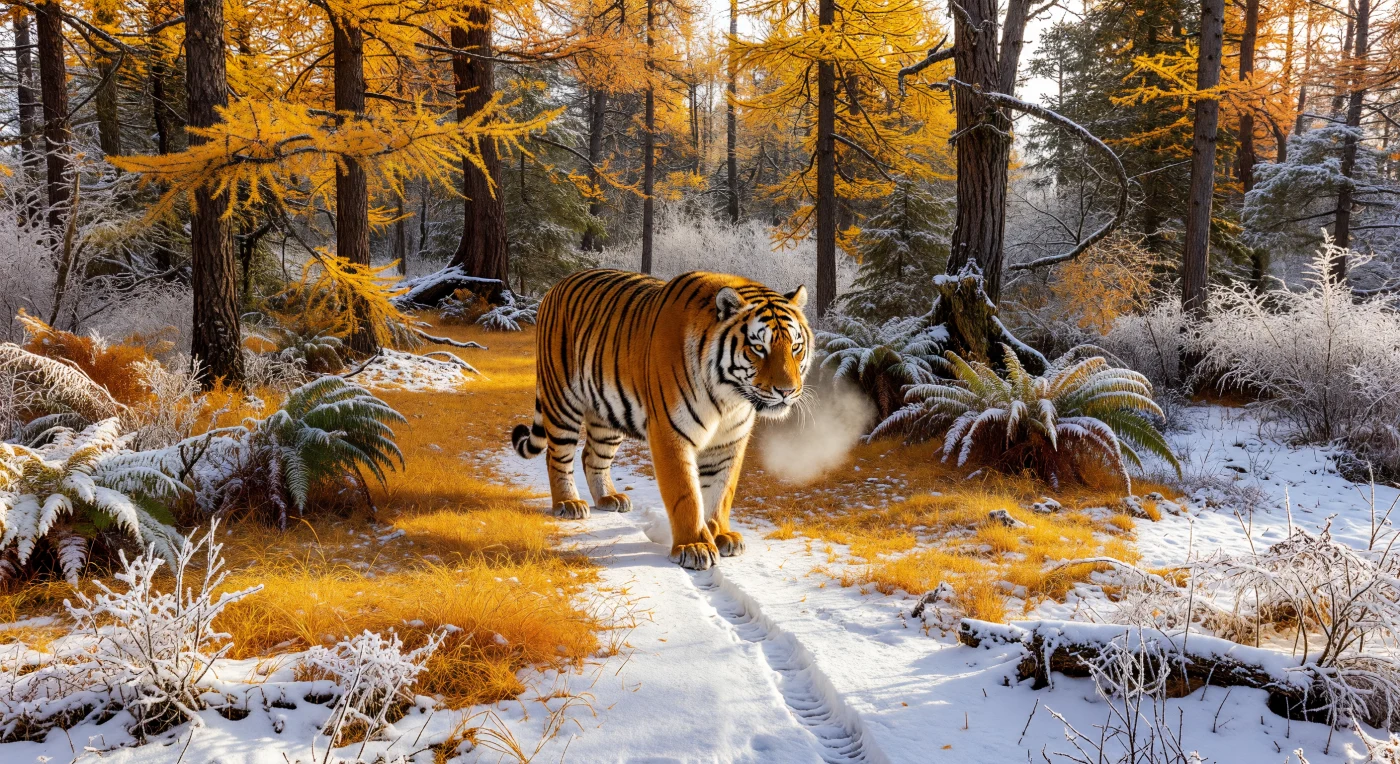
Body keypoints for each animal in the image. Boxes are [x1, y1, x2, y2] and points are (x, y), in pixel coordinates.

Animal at [511, 269, 812, 570]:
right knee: (557, 456)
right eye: (759, 347)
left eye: (796, 346)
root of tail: (557, 285)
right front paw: (694, 545)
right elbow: (686, 494)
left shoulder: (729, 442)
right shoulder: (670, 432)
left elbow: (721, 491)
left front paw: (721, 533)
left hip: (606, 415)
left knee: (592, 456)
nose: (787, 391)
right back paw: (568, 503)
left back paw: (608, 497)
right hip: (561, 400)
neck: (729, 397)